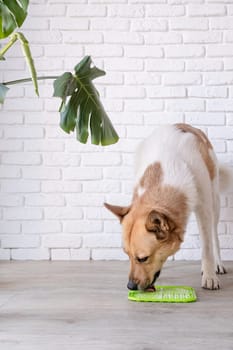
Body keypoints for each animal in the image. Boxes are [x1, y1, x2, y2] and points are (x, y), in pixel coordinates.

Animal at [104, 123, 232, 290]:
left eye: (143, 258)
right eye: (127, 255)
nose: (130, 286)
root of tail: (185, 125)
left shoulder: (204, 208)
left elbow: (207, 247)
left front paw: (209, 276)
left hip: (214, 200)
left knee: (214, 235)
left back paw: (218, 264)